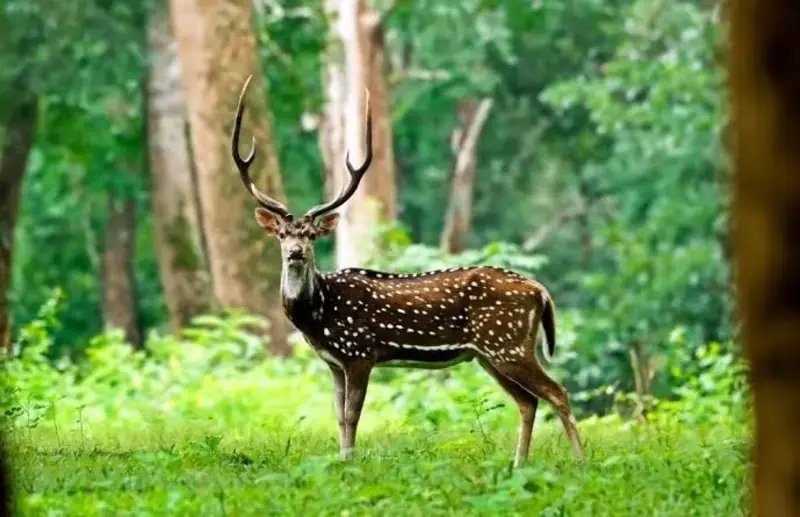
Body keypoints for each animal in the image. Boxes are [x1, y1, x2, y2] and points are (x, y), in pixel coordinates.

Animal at [231, 76, 585, 467]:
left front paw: (350, 463)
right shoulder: (334, 362)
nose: (295, 252)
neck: (318, 313)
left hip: (507, 343)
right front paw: (341, 460)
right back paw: (518, 464)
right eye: (282, 234)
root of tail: (541, 292)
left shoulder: (360, 352)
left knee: (557, 392)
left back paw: (579, 462)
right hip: (491, 353)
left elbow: (352, 415)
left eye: (310, 235)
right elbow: (337, 415)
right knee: (529, 401)